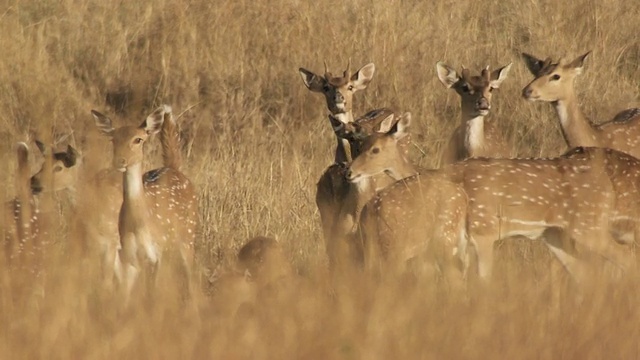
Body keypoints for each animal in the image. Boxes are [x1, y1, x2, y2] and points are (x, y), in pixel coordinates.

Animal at [91, 104, 198, 298]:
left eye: (138, 140)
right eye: (113, 140)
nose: (120, 160)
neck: (139, 222)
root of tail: (174, 168)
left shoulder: (158, 253)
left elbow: (153, 295)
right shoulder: (129, 255)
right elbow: (124, 295)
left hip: (188, 236)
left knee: (192, 280)